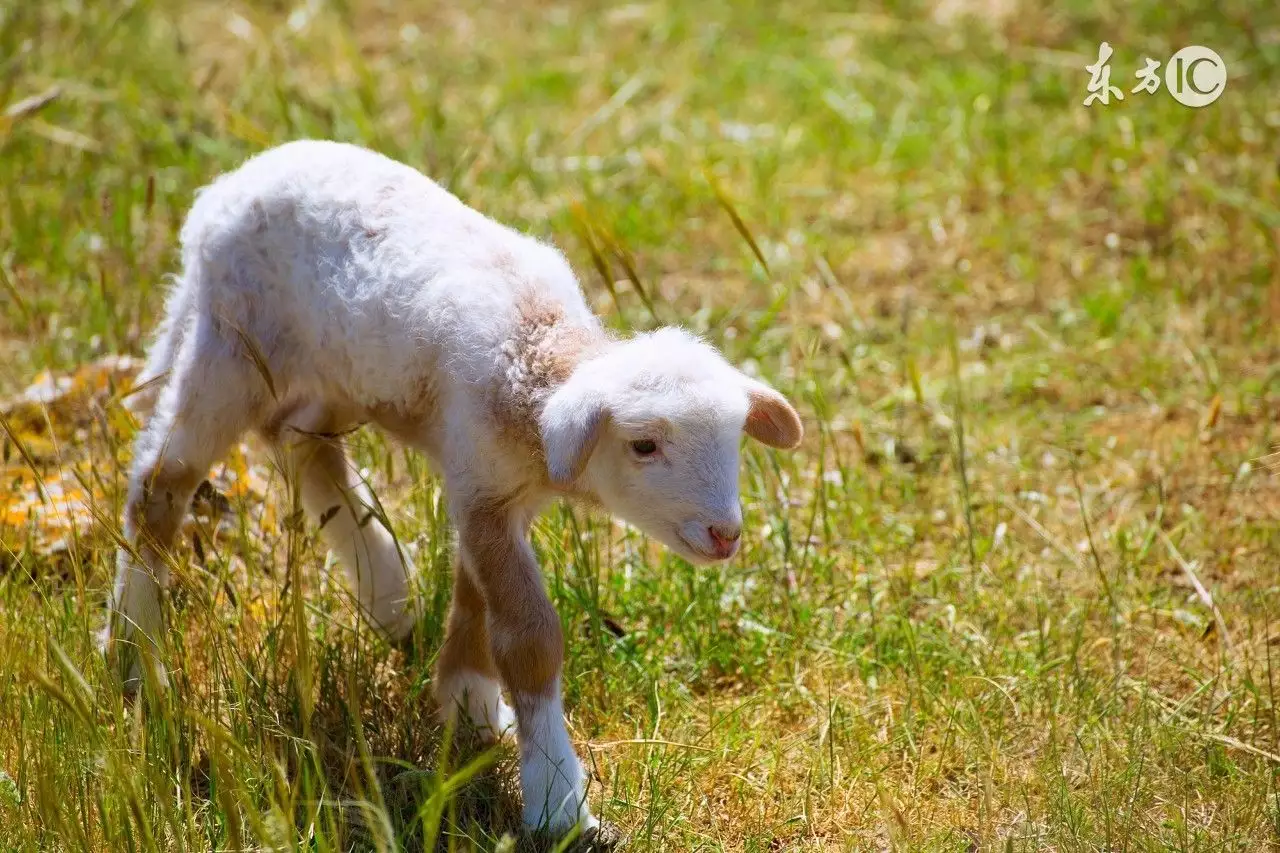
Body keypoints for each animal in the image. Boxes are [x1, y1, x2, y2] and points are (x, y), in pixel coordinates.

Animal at [102, 139, 798, 835]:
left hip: (333, 371)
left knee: (302, 442)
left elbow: (477, 602)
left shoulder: (490, 486)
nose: (725, 535)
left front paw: (470, 708)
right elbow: (528, 638)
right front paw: (556, 800)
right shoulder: (482, 487)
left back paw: (386, 593)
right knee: (161, 483)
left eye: (735, 439)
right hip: (231, 347)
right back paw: (132, 657)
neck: (534, 355)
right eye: (644, 445)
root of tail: (223, 191)